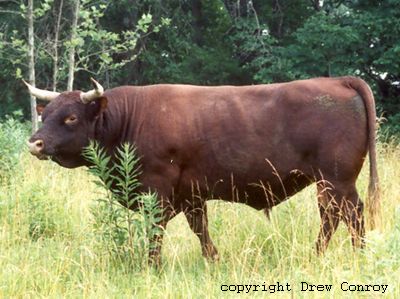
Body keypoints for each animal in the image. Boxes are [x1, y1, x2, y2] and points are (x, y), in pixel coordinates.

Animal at [25, 77, 382, 268]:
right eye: (46, 113)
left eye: (71, 117)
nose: (35, 142)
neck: (128, 120)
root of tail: (337, 80)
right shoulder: (191, 195)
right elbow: (201, 230)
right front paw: (214, 260)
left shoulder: (158, 191)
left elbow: (155, 232)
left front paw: (152, 266)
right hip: (329, 183)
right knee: (334, 216)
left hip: (336, 180)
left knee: (348, 214)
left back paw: (353, 255)